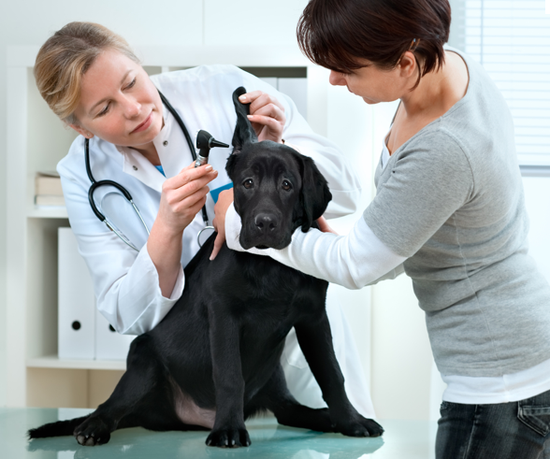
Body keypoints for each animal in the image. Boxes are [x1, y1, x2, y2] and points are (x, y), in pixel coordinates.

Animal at [28, 87, 386, 450]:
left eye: (287, 185)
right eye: (247, 183)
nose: (264, 224)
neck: (270, 267)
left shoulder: (313, 317)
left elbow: (332, 374)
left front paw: (351, 420)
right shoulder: (224, 314)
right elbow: (229, 376)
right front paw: (228, 429)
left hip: (272, 378)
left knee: (288, 411)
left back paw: (325, 418)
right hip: (144, 361)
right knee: (110, 404)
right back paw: (92, 426)